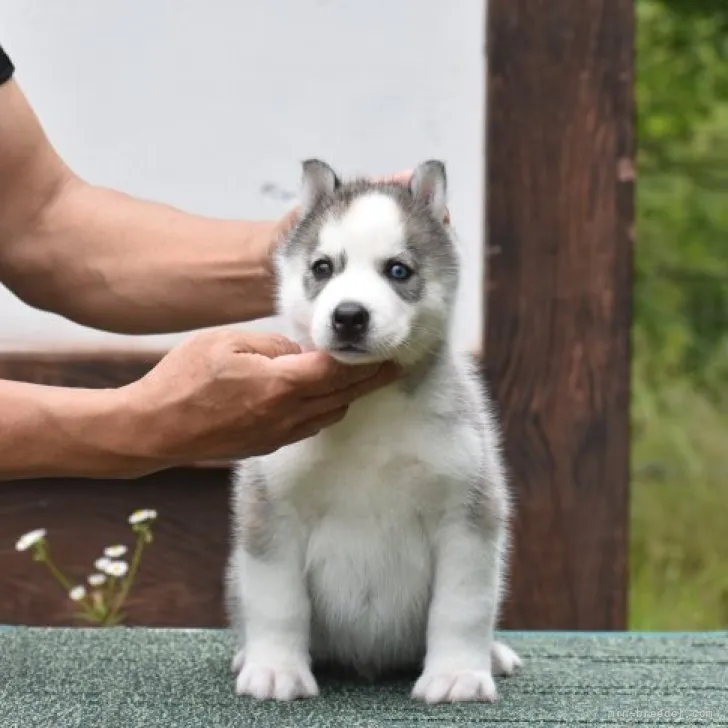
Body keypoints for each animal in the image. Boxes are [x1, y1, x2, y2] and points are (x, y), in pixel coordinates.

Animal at [225, 161, 520, 704]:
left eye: (398, 270)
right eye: (323, 267)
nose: (349, 316)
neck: (368, 409)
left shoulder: (467, 514)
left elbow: (462, 607)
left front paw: (458, 675)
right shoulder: (273, 509)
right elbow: (278, 602)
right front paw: (275, 668)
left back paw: (493, 655)